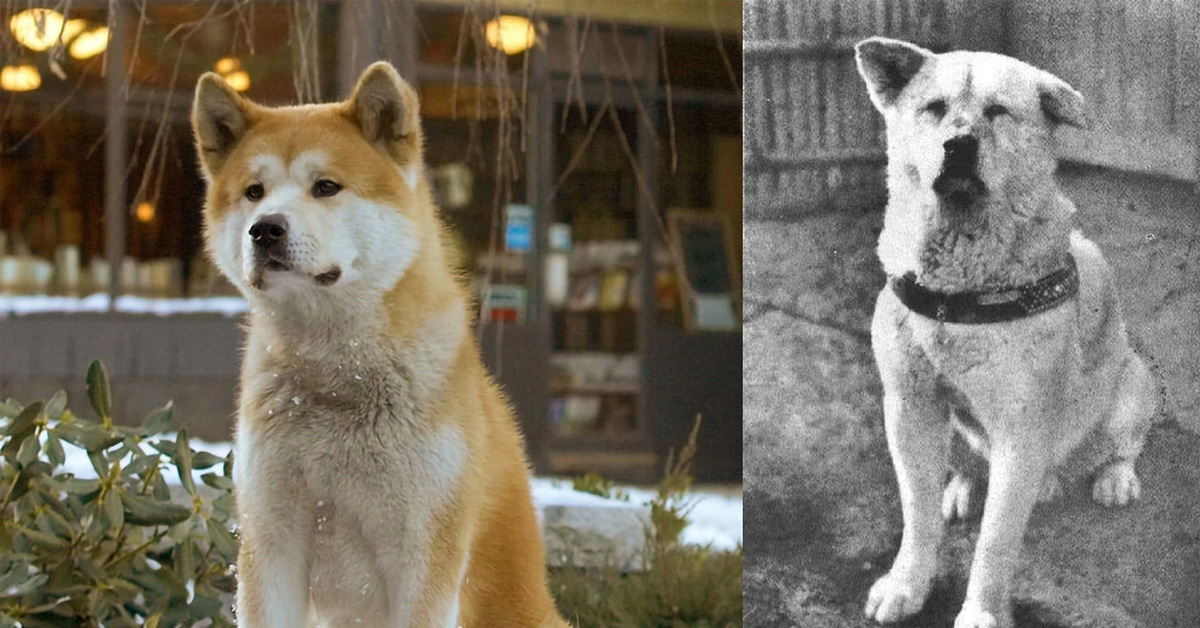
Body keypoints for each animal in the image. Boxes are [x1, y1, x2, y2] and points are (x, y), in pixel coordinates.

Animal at [193, 60, 576, 628]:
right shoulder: (272, 542)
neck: (340, 374)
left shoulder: (423, 554)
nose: (265, 230)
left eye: (326, 186)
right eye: (254, 192)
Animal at [854, 39, 1161, 628]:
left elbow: (995, 543)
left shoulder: (1022, 428)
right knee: (970, 467)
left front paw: (981, 612)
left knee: (1121, 445)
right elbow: (916, 514)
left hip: (1133, 383)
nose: (958, 146)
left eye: (998, 111)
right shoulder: (908, 408)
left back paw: (1112, 478)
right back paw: (964, 487)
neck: (960, 288)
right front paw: (906, 584)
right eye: (934, 108)